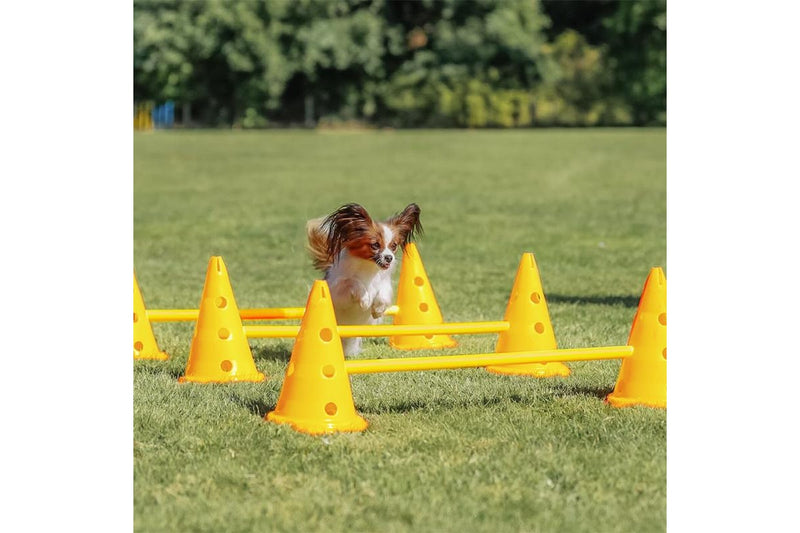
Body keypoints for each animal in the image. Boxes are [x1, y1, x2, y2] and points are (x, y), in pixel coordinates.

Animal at [304, 202, 422, 356]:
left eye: (393, 246)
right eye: (375, 245)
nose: (389, 257)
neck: (368, 267)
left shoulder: (384, 283)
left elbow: (383, 293)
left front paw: (377, 309)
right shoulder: (338, 292)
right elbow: (354, 282)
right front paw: (365, 300)